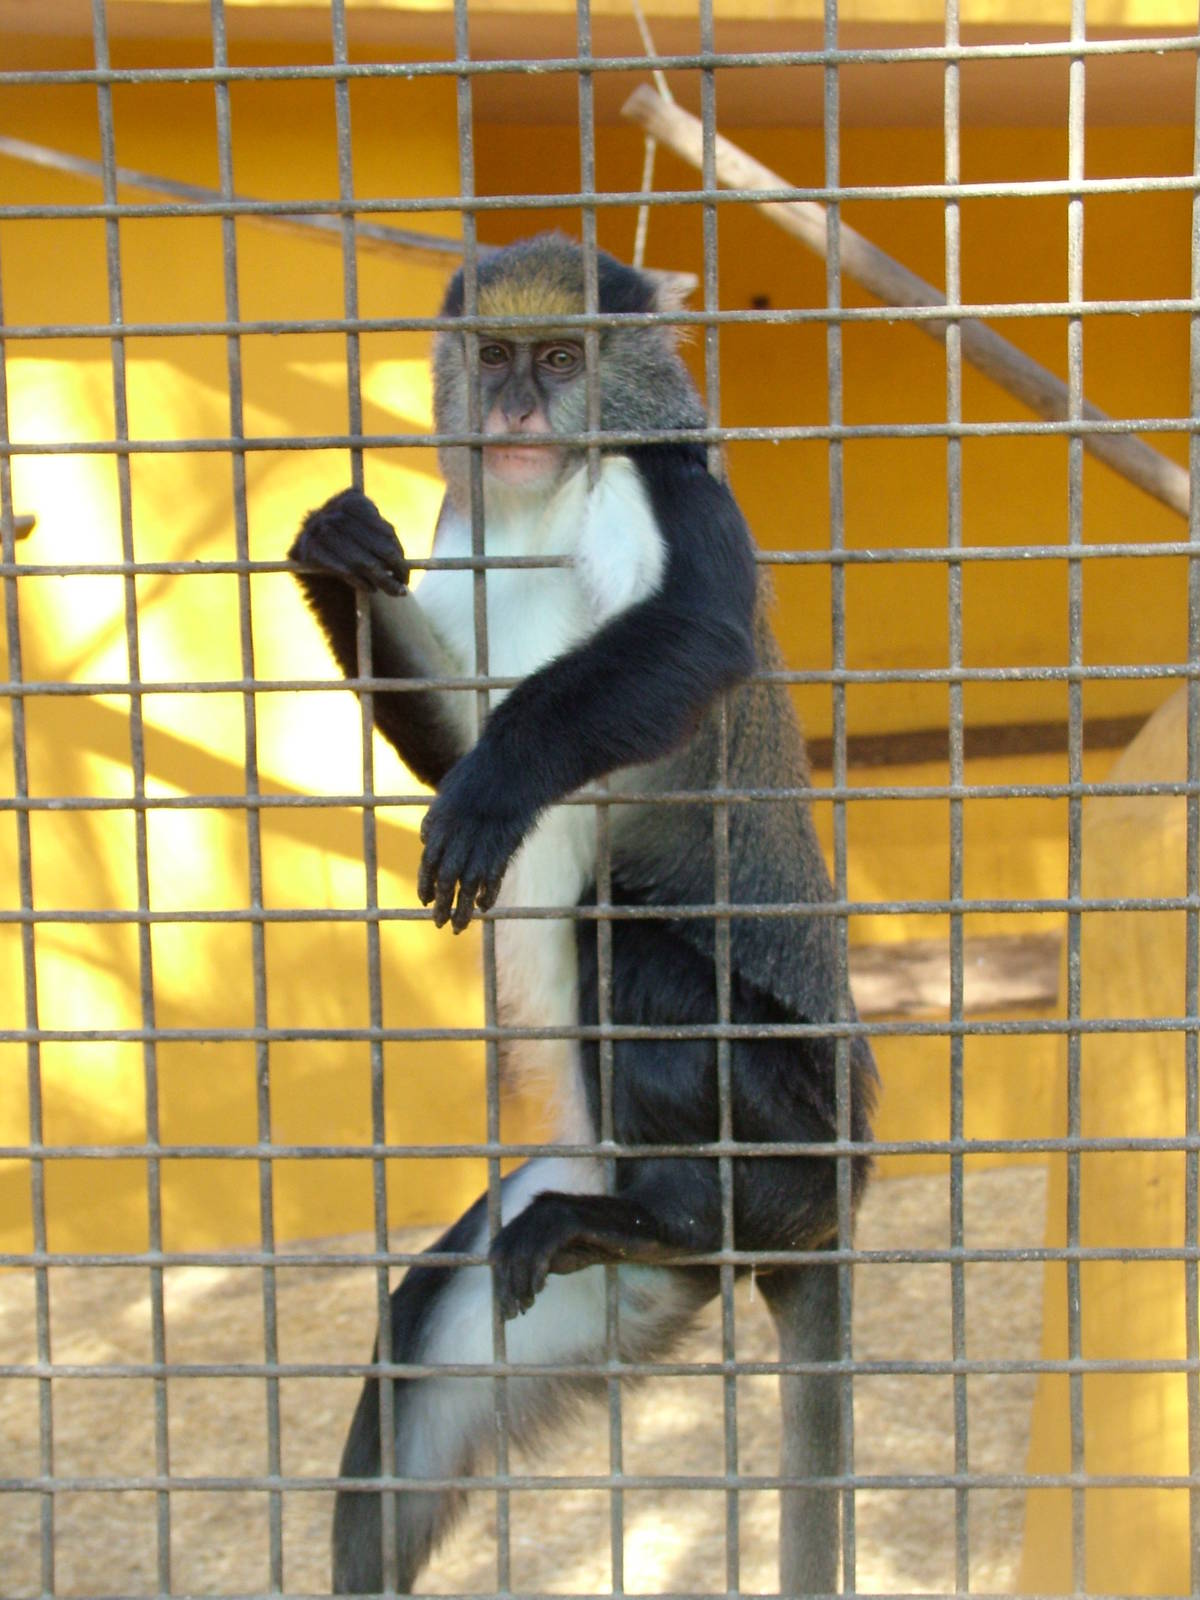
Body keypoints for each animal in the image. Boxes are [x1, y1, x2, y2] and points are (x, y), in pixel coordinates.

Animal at [288, 234, 876, 1596]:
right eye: (497, 355)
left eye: (562, 360)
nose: (513, 410)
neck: (545, 496)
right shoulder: (462, 536)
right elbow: (451, 714)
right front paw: (334, 550)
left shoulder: (666, 488)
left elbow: (689, 636)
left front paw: (499, 787)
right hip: (582, 1259)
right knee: (423, 1343)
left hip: (792, 1121)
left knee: (613, 933)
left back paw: (680, 1206)